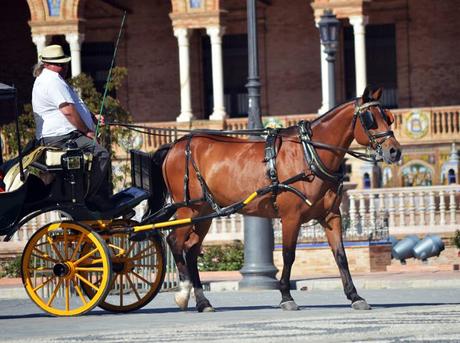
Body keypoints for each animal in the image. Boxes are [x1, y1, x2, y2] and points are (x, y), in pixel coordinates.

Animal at [149, 87, 400, 314]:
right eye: (370, 120)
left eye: (389, 117)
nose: (395, 151)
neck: (309, 154)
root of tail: (175, 145)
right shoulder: (291, 217)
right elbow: (288, 256)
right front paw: (286, 297)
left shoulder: (331, 216)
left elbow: (341, 256)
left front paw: (355, 296)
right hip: (188, 210)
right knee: (174, 241)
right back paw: (183, 292)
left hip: (204, 213)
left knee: (191, 250)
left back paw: (203, 302)